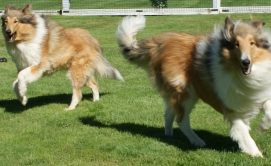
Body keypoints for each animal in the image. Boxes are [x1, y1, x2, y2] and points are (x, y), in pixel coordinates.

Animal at [117, 14, 271, 156]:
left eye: (252, 43)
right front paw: (255, 153)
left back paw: (168, 135)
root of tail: (159, 44)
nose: (246, 62)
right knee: (181, 120)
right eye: (236, 44)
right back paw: (197, 141)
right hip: (185, 93)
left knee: (168, 113)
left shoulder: (260, 93)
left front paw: (263, 127)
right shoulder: (232, 106)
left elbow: (268, 107)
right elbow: (242, 131)